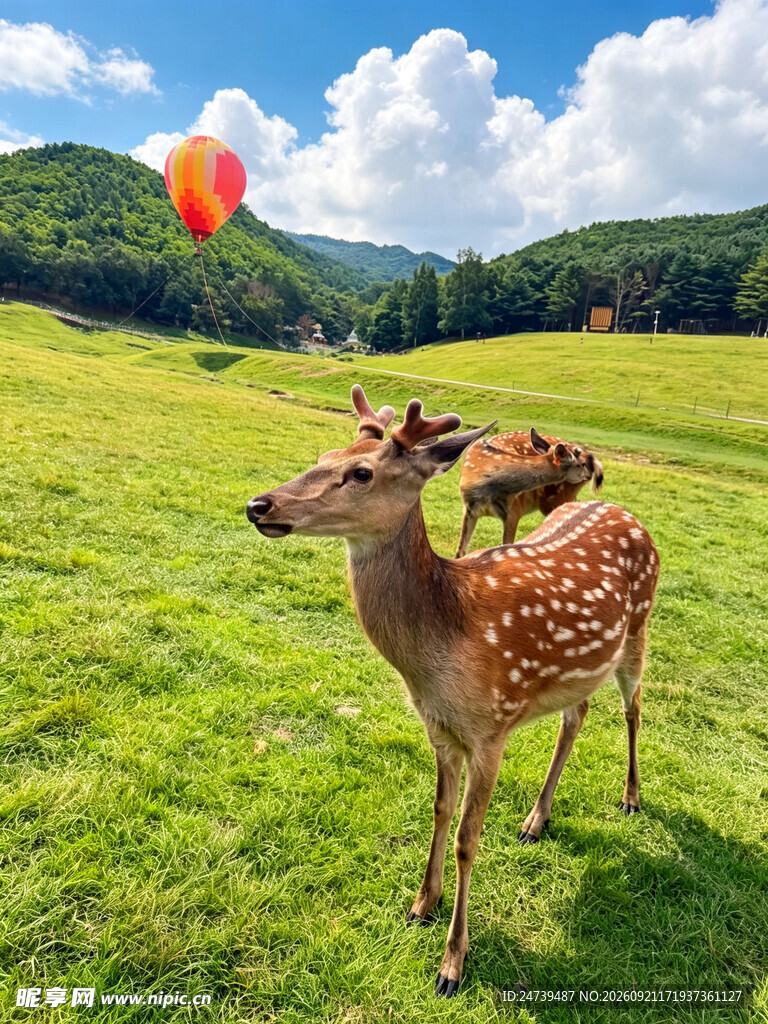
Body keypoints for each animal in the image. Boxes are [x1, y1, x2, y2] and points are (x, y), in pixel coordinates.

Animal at [456, 430, 605, 557]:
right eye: (581, 464)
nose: (589, 473)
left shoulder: (514, 510)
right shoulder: (469, 508)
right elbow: (460, 552)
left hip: (556, 498)